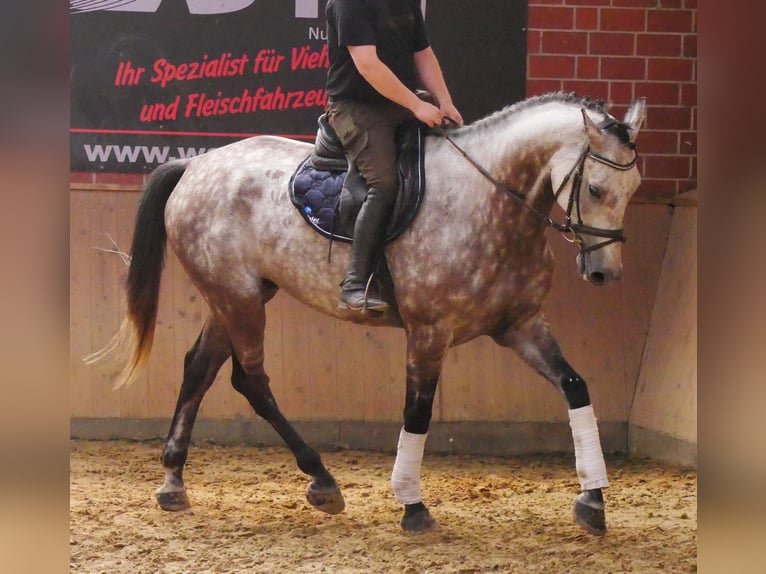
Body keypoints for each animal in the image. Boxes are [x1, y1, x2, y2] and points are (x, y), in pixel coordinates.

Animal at [89, 92, 646, 536]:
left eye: (635, 189)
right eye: (595, 189)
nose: (604, 273)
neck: (490, 201)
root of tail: (195, 165)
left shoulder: (520, 325)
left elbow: (575, 386)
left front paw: (593, 499)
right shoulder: (429, 332)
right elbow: (417, 414)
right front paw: (413, 505)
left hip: (237, 296)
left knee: (198, 369)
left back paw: (173, 481)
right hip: (237, 298)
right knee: (250, 381)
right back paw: (321, 480)